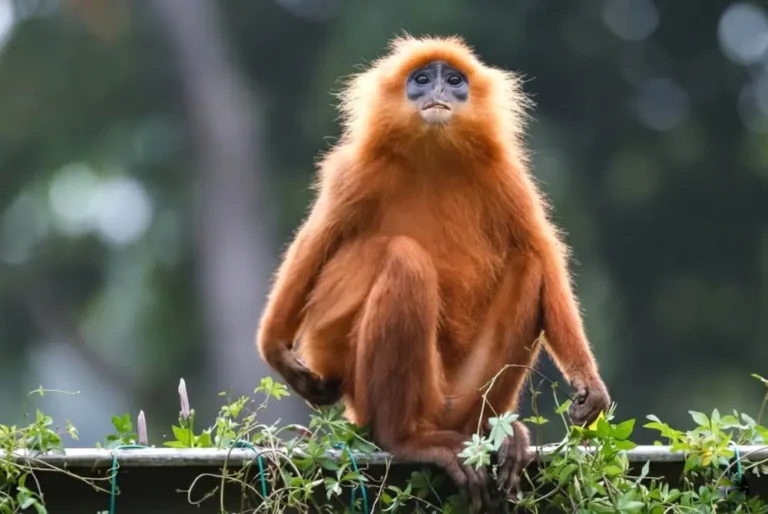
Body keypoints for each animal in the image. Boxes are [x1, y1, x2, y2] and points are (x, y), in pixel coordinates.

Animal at [256, 34, 611, 513]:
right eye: (422, 79)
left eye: (455, 81)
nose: (439, 91)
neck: (434, 154)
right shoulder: (355, 172)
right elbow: (316, 244)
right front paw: (275, 349)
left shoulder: (506, 175)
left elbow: (540, 251)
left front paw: (588, 384)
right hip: (380, 393)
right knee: (405, 260)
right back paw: (405, 438)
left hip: (464, 395)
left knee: (529, 265)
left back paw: (495, 434)